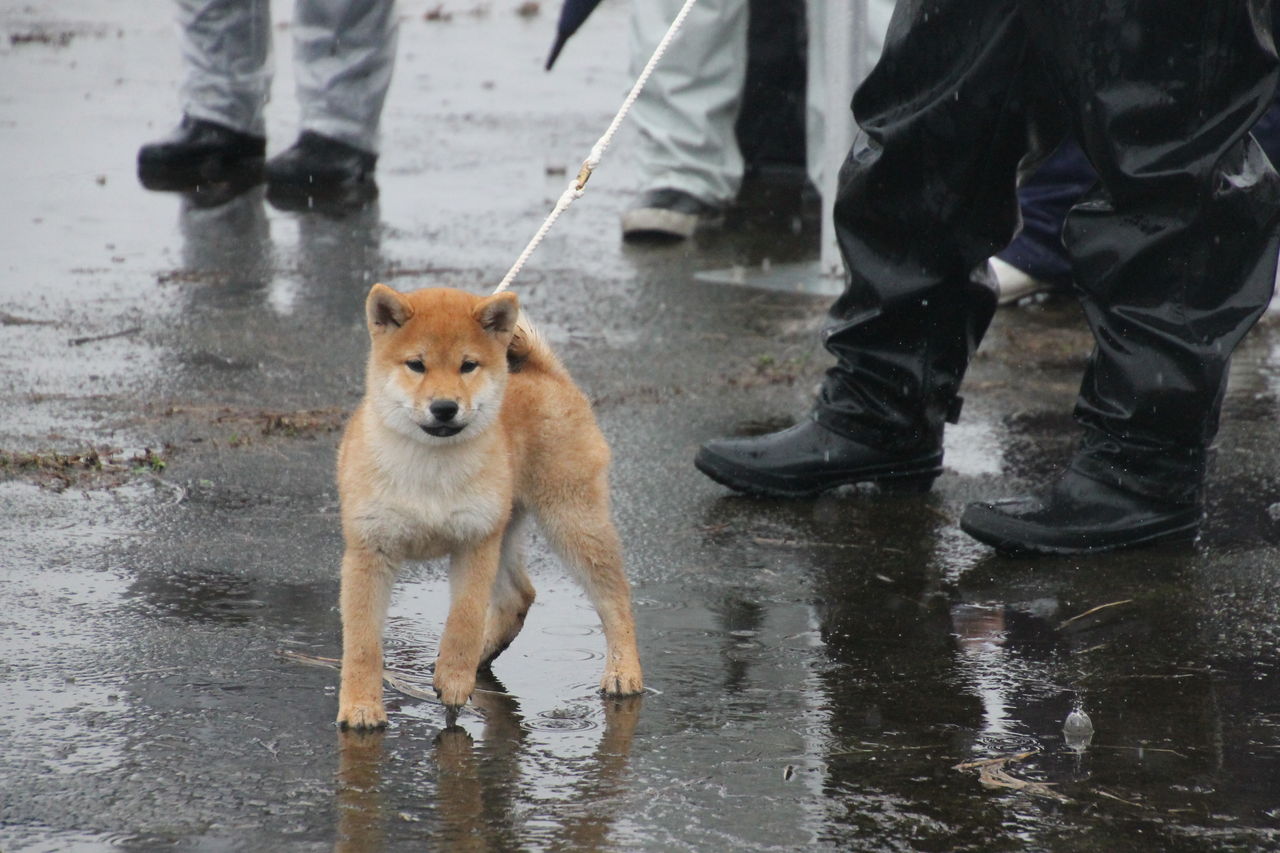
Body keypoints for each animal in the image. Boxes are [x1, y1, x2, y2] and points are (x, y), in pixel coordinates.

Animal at [334, 284, 644, 730]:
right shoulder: (369, 550)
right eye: (416, 365)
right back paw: (480, 657)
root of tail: (543, 372)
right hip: (507, 529)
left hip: (571, 519)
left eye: (468, 366)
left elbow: (462, 621)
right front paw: (360, 707)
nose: (444, 407)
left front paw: (454, 681)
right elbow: (362, 643)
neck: (431, 467)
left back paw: (624, 671)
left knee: (614, 597)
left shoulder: (473, 543)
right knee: (519, 595)